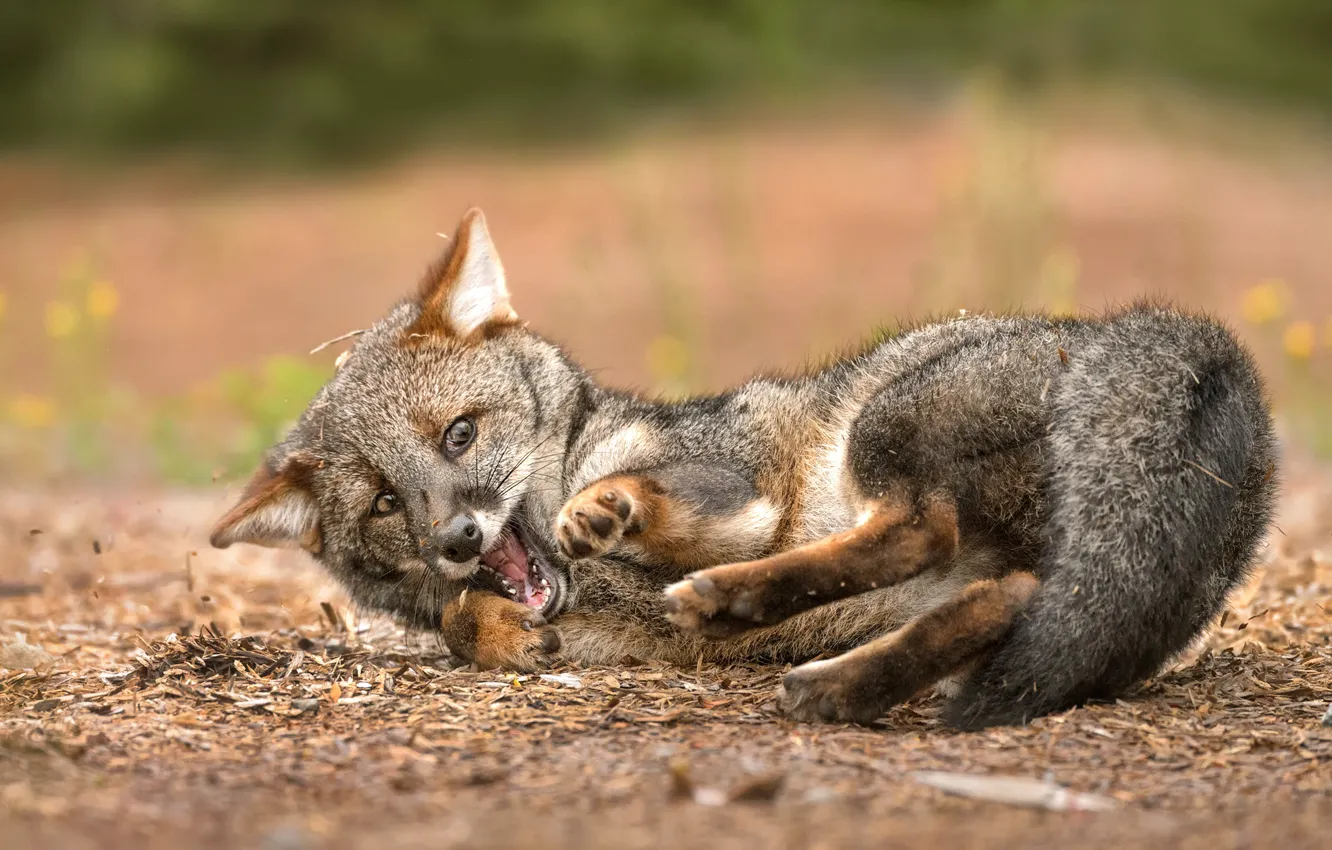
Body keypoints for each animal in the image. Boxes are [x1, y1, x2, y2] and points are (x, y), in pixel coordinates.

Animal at [210, 208, 1278, 729]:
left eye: (459, 436)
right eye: (388, 504)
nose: (459, 538)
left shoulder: (738, 488)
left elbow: (650, 497)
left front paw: (605, 511)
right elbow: (463, 625)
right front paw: (504, 631)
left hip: (879, 431)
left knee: (921, 528)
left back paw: (734, 600)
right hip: (989, 560)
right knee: (1001, 593)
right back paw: (835, 681)